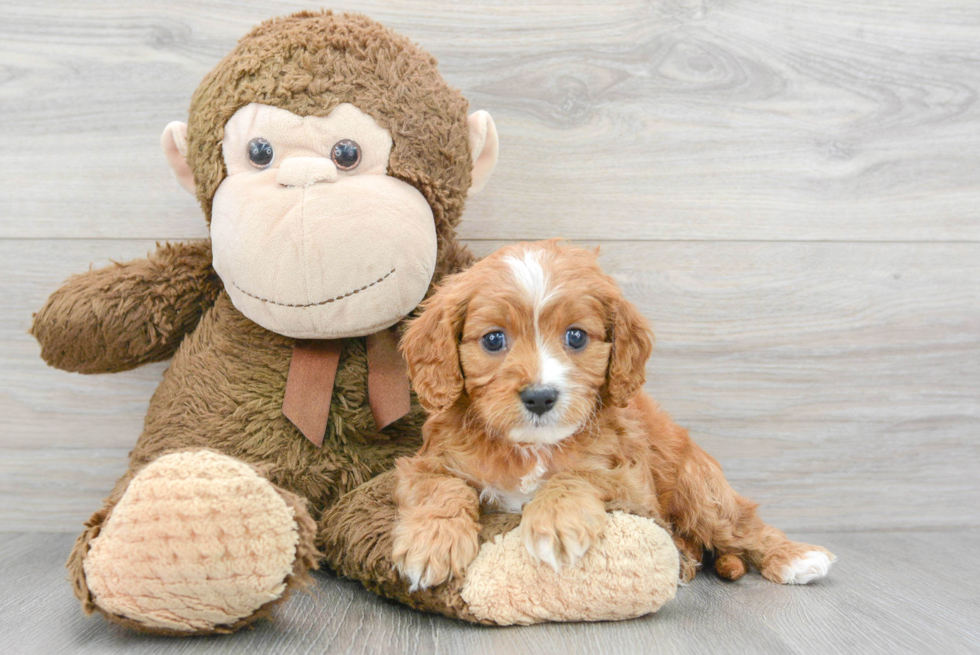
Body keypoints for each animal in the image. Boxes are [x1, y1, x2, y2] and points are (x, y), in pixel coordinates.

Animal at [390, 240, 836, 588]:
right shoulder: (425, 463)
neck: (532, 448)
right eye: (494, 339)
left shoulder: (632, 485)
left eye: (575, 336)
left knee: (742, 525)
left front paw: (555, 521)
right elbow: (443, 487)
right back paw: (686, 559)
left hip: (699, 488)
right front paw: (432, 541)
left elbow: (579, 474)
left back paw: (795, 558)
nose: (540, 397)